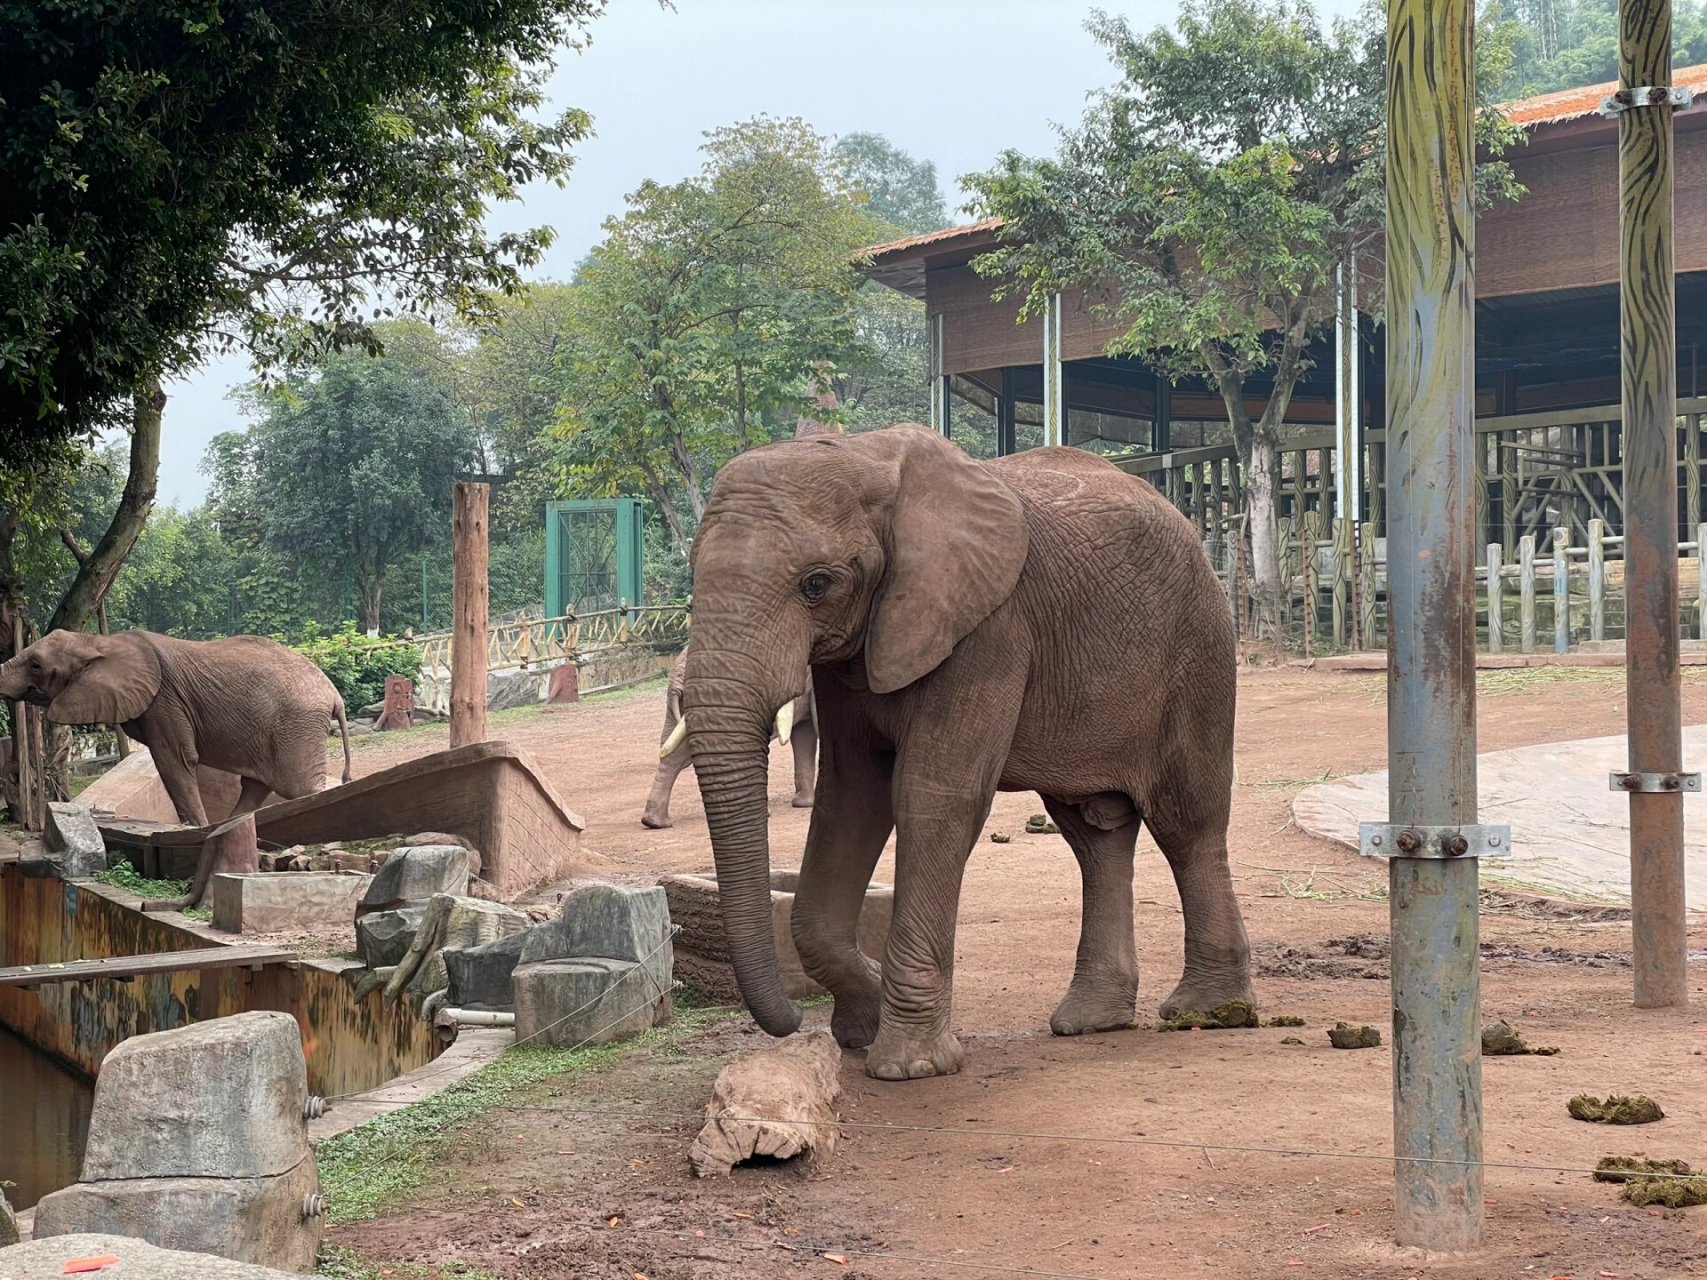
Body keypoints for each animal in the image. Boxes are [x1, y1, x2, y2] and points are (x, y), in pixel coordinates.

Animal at [0, 628, 353, 832]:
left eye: (35, 665)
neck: (101, 642)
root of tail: (335, 695)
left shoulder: (164, 700)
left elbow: (175, 760)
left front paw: (195, 828)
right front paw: (199, 829)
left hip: (296, 726)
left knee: (299, 787)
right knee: (256, 785)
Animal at [675, 428, 1256, 1085]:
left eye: (816, 584)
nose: (794, 1020)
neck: (865, 457)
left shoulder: (988, 629)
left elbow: (931, 795)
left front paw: (909, 1067)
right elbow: (851, 796)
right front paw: (861, 1028)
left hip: (1198, 648)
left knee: (1186, 824)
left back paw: (1209, 1013)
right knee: (1094, 833)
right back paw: (1091, 1021)